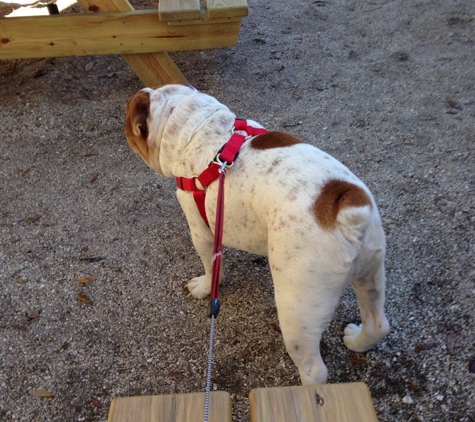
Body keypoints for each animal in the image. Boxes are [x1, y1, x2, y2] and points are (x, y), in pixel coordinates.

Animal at [125, 83, 390, 386]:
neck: (198, 125)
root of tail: (346, 208)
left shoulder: (201, 230)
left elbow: (210, 266)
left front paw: (204, 287)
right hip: (371, 271)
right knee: (378, 324)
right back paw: (358, 341)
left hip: (297, 308)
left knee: (314, 370)